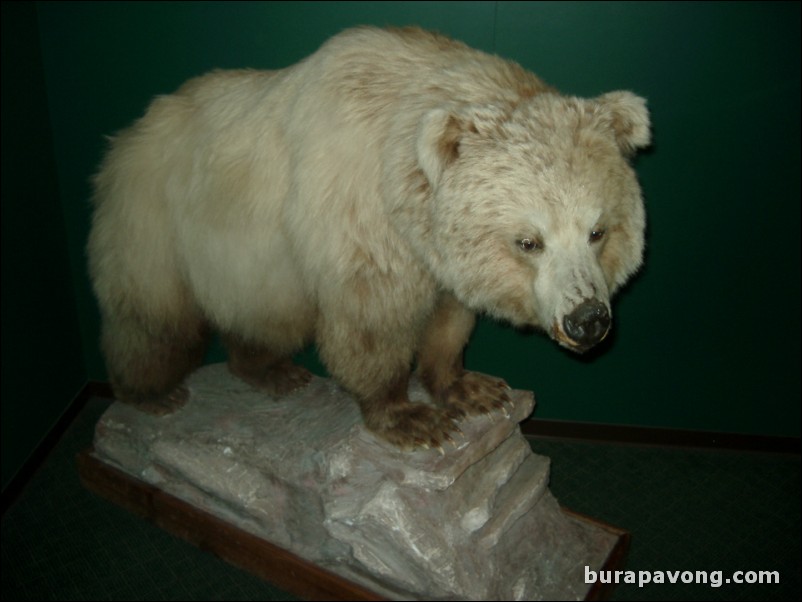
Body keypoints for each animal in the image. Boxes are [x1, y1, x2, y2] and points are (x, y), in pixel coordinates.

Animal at [89, 27, 648, 450]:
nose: (588, 319)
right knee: (154, 317)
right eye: (529, 241)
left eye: (597, 231)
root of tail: (130, 133)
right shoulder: (361, 216)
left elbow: (450, 318)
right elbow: (372, 321)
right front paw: (410, 417)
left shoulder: (436, 249)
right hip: (155, 217)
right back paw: (151, 393)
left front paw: (473, 388)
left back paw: (271, 370)